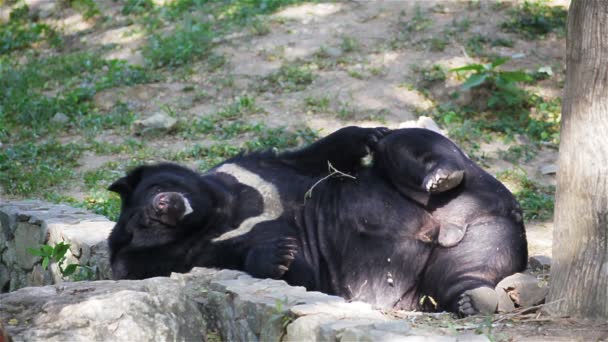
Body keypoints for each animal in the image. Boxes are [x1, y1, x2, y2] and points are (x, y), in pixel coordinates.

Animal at [109, 125, 528, 316]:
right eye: (142, 225)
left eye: (154, 188)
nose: (162, 205)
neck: (221, 210)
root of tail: (452, 225)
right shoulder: (202, 253)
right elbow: (294, 269)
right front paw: (278, 254)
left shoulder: (254, 169)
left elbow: (319, 155)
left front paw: (367, 135)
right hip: (469, 247)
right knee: (461, 275)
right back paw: (472, 300)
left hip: (481, 201)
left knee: (412, 141)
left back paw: (440, 175)